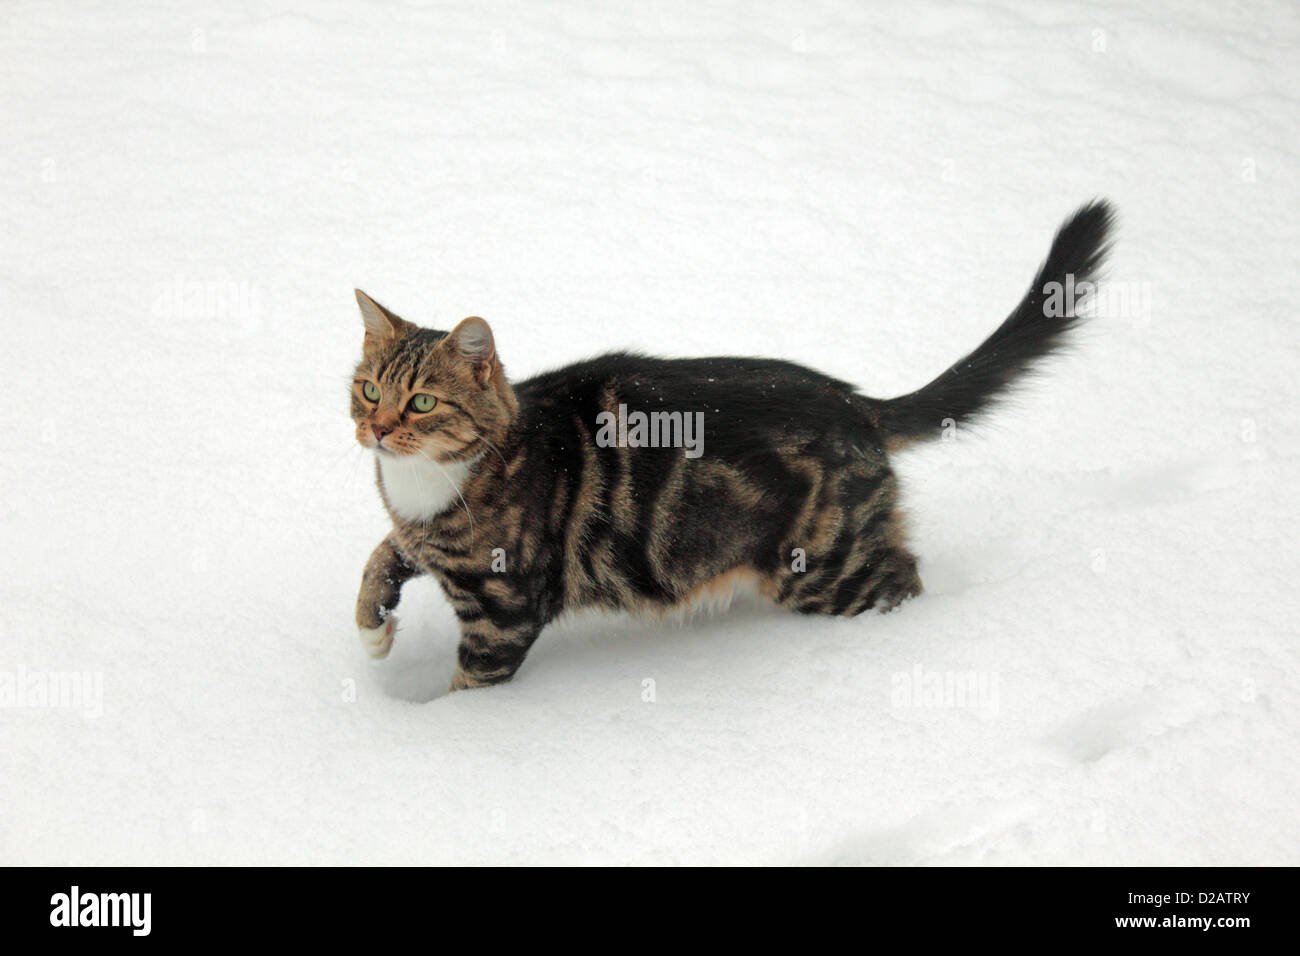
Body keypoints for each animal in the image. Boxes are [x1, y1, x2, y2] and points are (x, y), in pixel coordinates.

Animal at [353, 204, 1118, 697]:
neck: (422, 482)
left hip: (820, 566)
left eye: (423, 402)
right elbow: (379, 559)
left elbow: (472, 682)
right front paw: (374, 631)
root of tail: (855, 402)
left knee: (902, 578)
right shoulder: (414, 537)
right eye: (367, 390)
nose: (379, 430)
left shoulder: (504, 605)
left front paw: (443, 725)